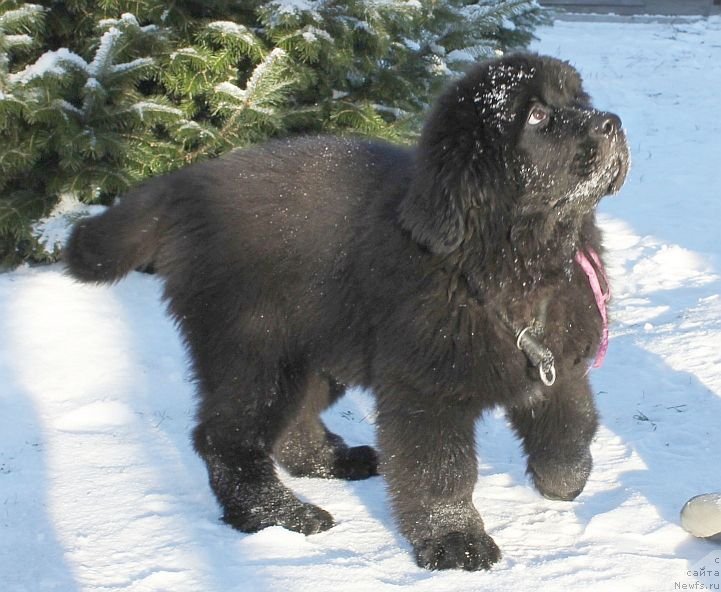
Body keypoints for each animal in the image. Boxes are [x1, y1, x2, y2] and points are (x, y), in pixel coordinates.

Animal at [64, 54, 628, 568]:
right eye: (536, 115)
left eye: (579, 99)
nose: (612, 122)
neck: (511, 260)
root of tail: (188, 184)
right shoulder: (424, 390)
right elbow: (440, 473)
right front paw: (456, 542)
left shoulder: (558, 362)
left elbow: (572, 429)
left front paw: (562, 483)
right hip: (255, 348)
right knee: (226, 438)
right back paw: (279, 515)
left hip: (315, 345)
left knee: (292, 424)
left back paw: (337, 461)